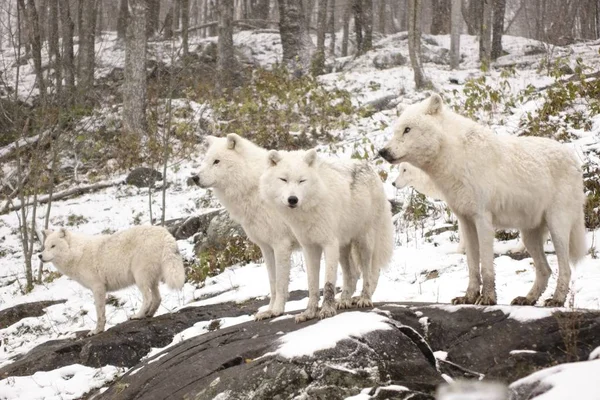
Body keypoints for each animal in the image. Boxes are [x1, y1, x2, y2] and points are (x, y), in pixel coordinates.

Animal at [38, 225, 184, 334]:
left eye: (53, 246)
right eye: (45, 246)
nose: (40, 256)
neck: (77, 254)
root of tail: (165, 233)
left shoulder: (98, 288)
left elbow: (99, 312)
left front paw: (97, 331)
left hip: (140, 278)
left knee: (148, 298)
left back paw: (138, 315)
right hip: (151, 281)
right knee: (157, 298)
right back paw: (149, 315)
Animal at [195, 134, 300, 318]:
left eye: (216, 161)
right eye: (205, 161)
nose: (194, 178)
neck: (254, 186)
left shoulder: (281, 245)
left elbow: (280, 283)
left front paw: (278, 310)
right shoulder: (267, 248)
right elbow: (272, 282)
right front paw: (268, 310)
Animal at [258, 149, 394, 322]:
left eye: (302, 180)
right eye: (283, 179)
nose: (293, 199)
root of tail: (369, 167)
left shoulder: (329, 244)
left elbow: (328, 282)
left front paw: (327, 310)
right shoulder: (309, 248)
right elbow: (312, 285)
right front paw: (309, 312)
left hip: (364, 242)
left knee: (368, 272)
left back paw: (364, 298)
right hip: (343, 248)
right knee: (351, 275)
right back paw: (344, 300)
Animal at [380, 95, 584, 308]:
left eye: (407, 129)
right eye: (396, 130)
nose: (382, 151)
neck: (456, 157)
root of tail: (574, 159)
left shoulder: (483, 219)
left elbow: (486, 265)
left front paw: (487, 298)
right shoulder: (465, 221)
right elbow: (471, 266)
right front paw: (468, 297)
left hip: (557, 227)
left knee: (566, 269)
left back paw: (556, 300)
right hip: (530, 236)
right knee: (545, 270)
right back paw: (528, 299)